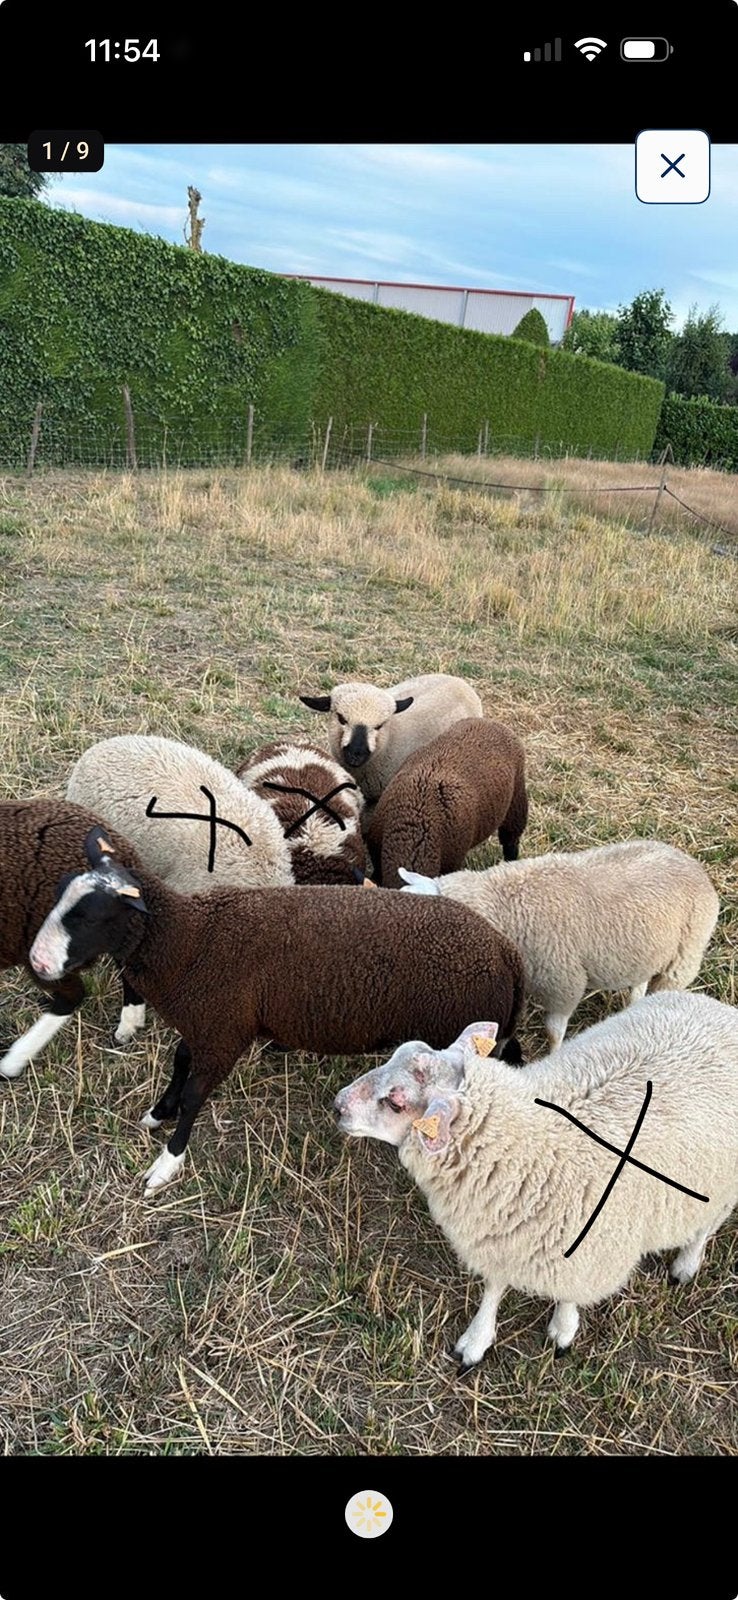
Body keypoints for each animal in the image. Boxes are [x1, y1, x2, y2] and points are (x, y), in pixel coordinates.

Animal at [28, 827, 525, 1193]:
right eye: (60, 896)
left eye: (89, 917)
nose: (38, 963)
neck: (189, 944)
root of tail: (505, 952)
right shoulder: (207, 1024)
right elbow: (179, 1061)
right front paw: (158, 1111)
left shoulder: (223, 1032)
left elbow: (193, 1097)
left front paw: (167, 1162)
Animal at [334, 991, 738, 1364]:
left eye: (396, 1102)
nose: (338, 1106)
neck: (530, 1143)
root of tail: (723, 1012)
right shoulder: (504, 1233)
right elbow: (494, 1286)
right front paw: (476, 1340)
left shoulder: (587, 1253)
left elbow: (570, 1294)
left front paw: (563, 1330)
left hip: (722, 1185)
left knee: (706, 1225)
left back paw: (686, 1264)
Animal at [398, 838, 719, 1051]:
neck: (505, 904)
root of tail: (693, 864)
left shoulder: (563, 982)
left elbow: (554, 1031)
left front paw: (553, 1054)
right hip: (646, 950)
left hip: (683, 960)